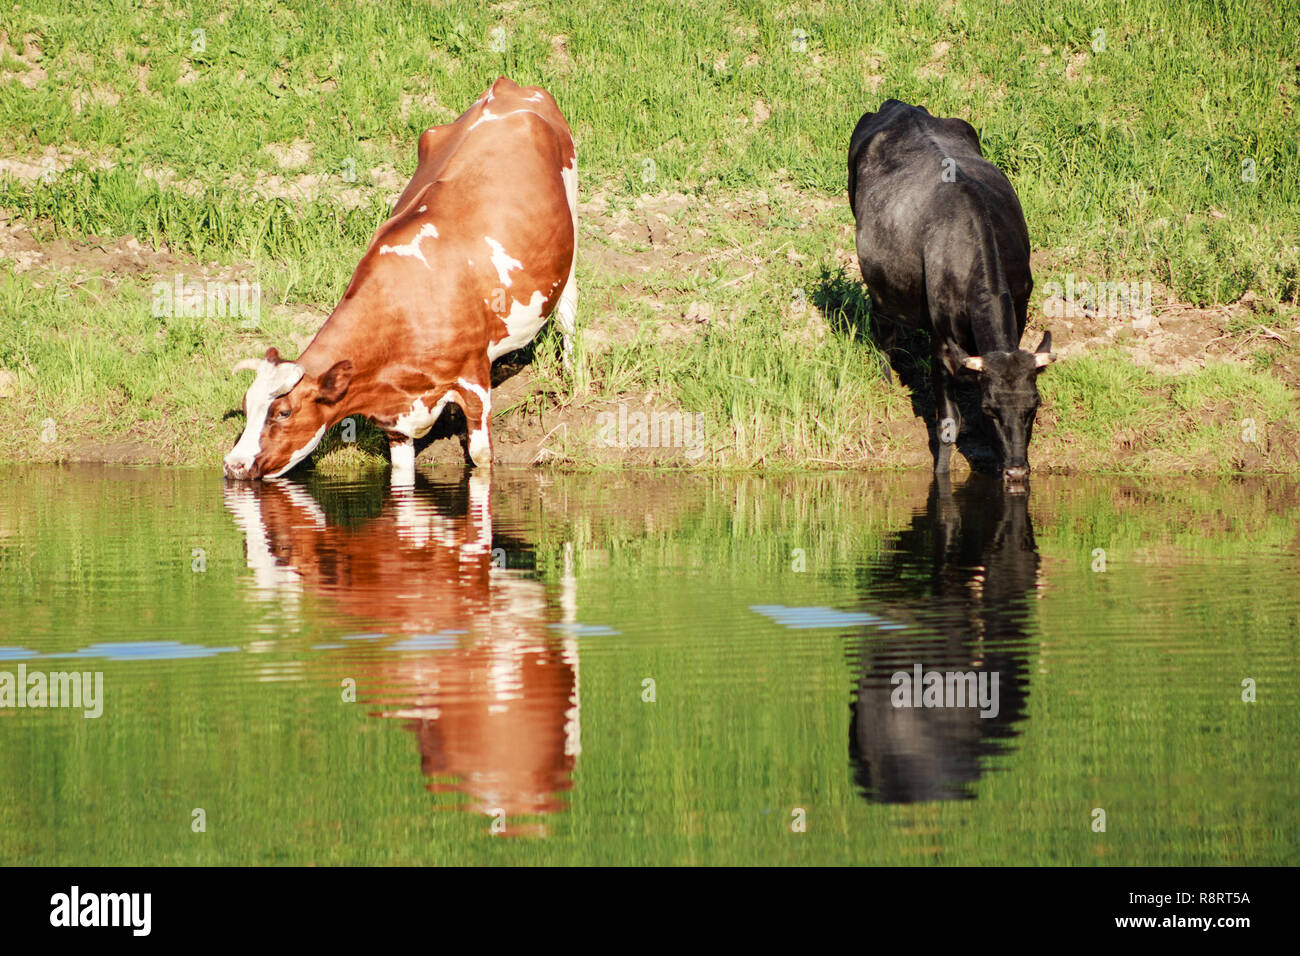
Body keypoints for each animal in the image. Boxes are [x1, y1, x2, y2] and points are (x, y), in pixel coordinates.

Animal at [223, 76, 577, 483]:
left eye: (282, 412)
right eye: (246, 408)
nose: (233, 465)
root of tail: (504, 86)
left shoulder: (473, 378)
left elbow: (481, 457)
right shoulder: (395, 421)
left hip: (572, 210)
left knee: (569, 309)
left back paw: (571, 374)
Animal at [849, 99, 1056, 488]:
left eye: (1033, 405)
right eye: (990, 409)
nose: (1017, 470)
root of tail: (899, 106)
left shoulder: (1019, 312)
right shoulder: (942, 344)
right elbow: (948, 424)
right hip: (878, 285)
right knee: (883, 328)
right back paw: (886, 378)